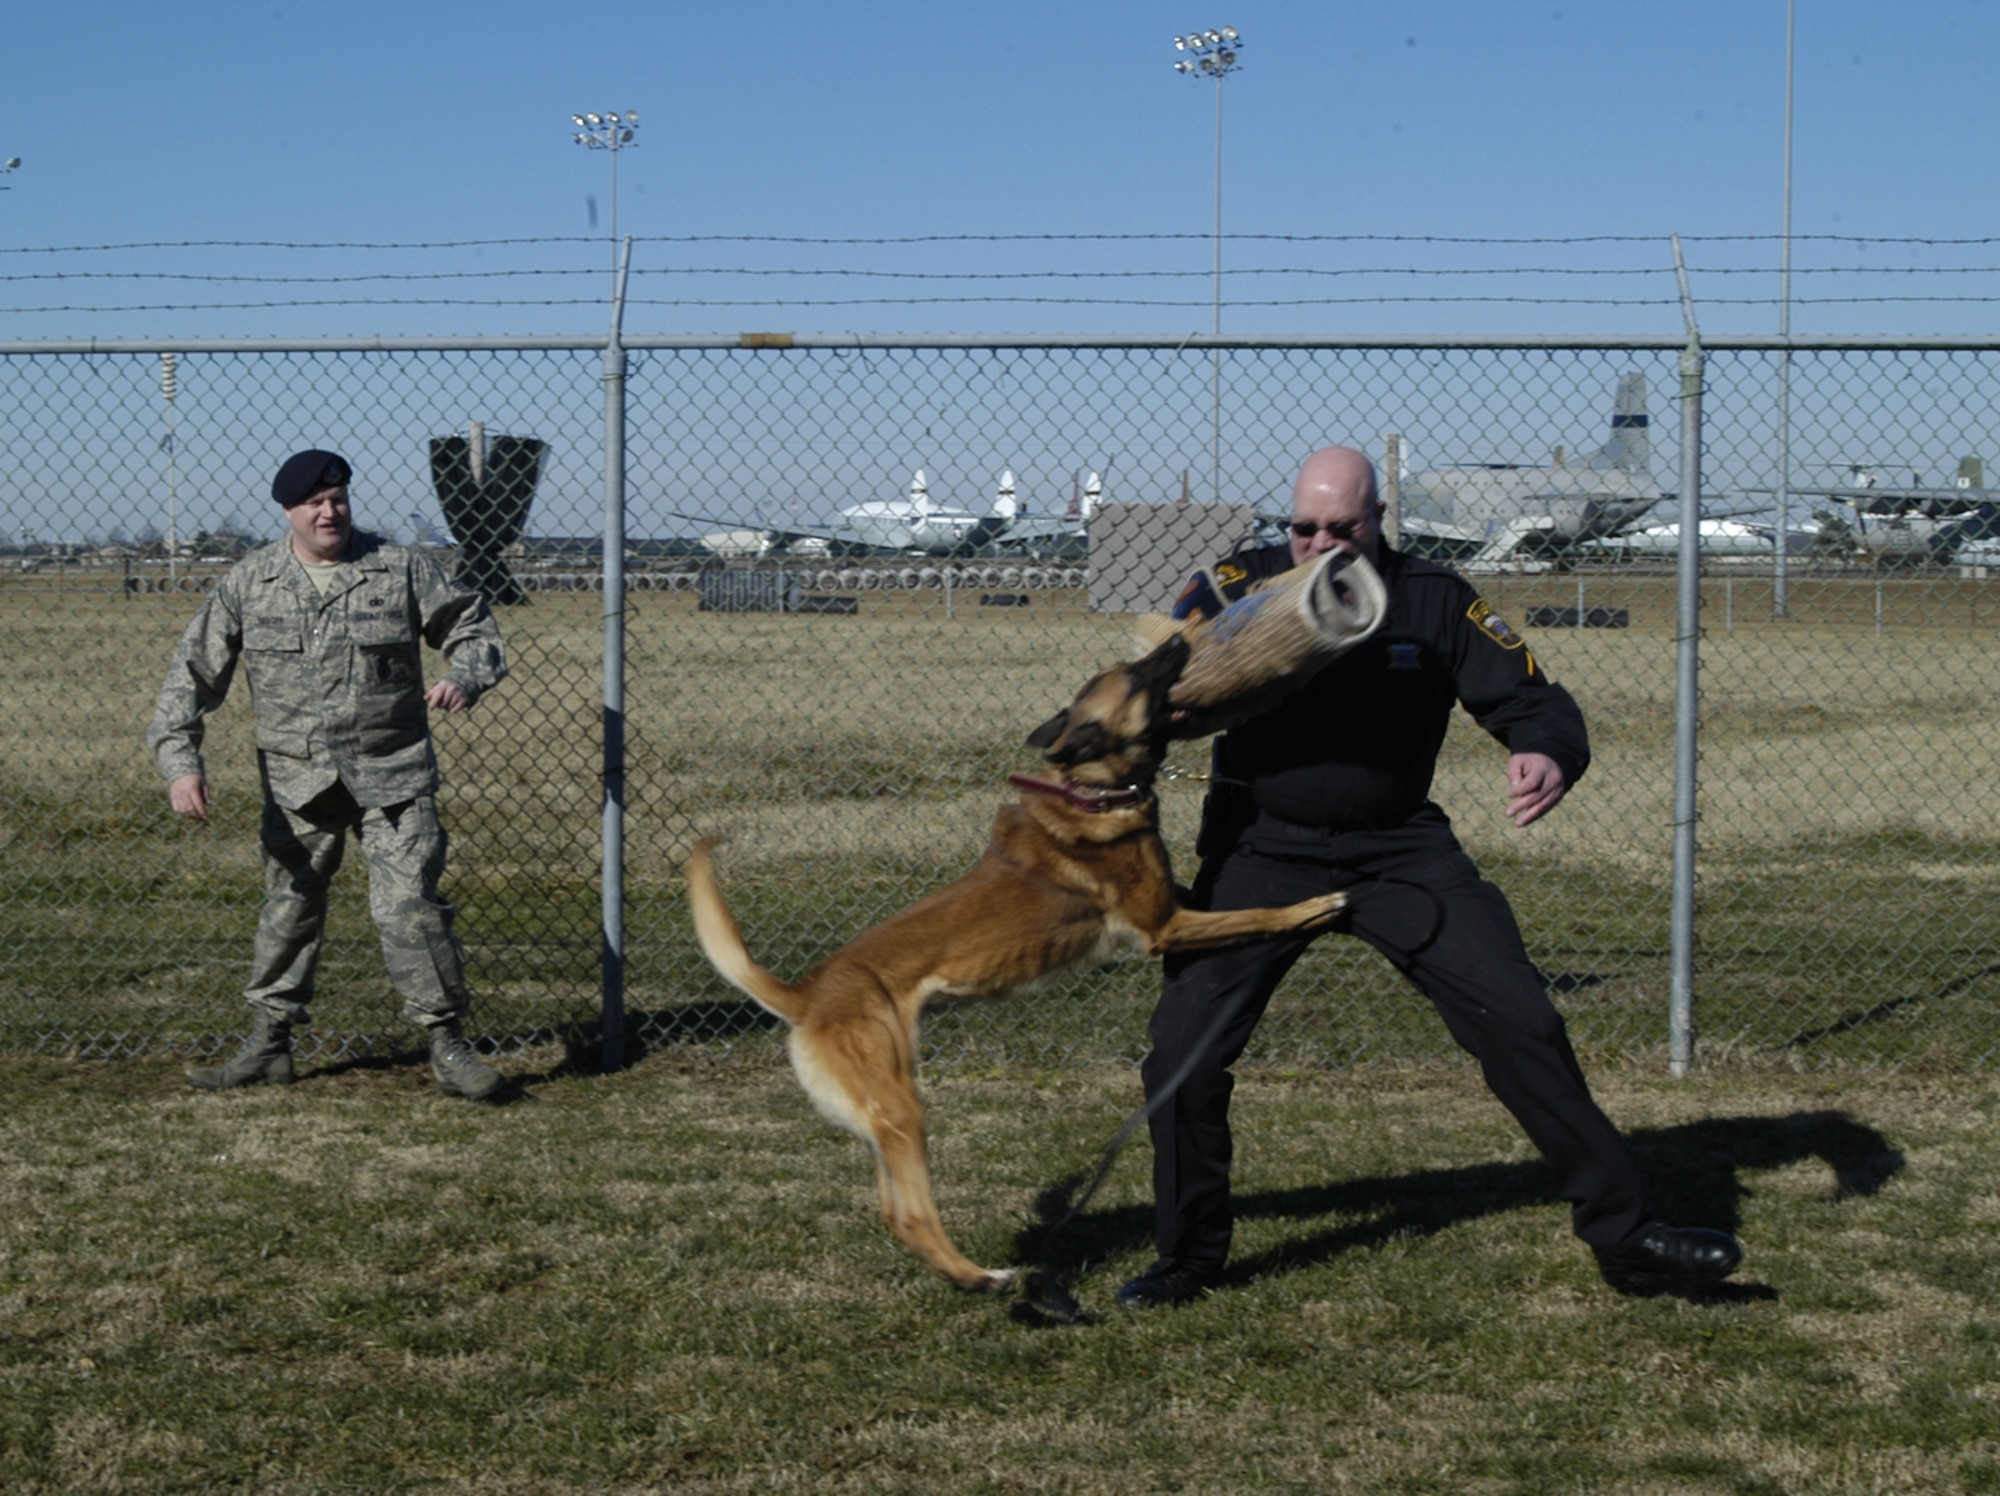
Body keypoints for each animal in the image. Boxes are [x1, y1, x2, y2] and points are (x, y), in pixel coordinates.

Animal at [680, 636, 1352, 1288]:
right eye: (1135, 674)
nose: (1179, 639)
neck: (1092, 791)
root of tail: (807, 995)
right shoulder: (1164, 928)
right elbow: (1259, 913)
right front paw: (1318, 905)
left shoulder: (1173, 908)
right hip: (903, 1110)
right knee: (913, 1214)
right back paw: (982, 1278)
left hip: (882, 1119)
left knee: (892, 1212)